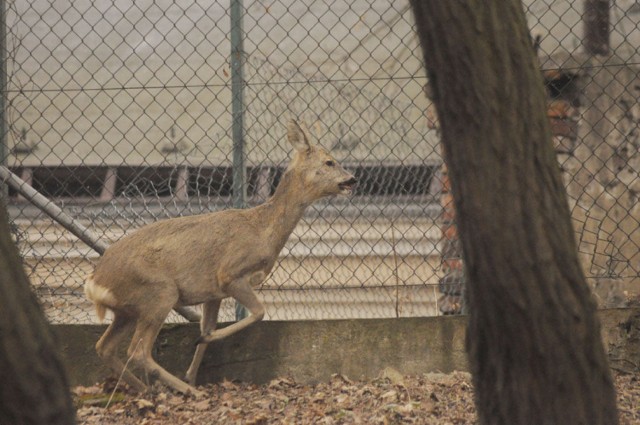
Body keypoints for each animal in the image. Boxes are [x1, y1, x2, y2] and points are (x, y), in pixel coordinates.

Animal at [82, 118, 358, 394]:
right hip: (158, 293)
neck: (262, 229)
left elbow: (209, 327)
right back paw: (185, 392)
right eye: (329, 161)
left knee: (104, 347)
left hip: (127, 310)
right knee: (137, 351)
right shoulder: (229, 274)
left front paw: (191, 372)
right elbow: (259, 312)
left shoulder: (212, 293)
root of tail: (94, 283)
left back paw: (148, 388)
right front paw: (198, 356)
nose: (352, 179)